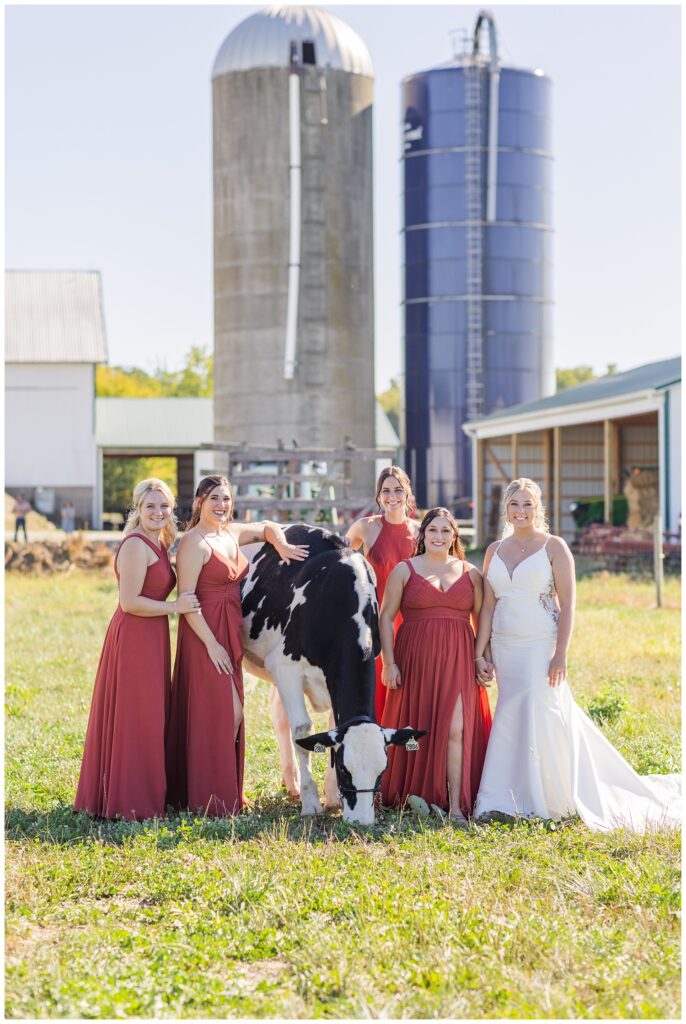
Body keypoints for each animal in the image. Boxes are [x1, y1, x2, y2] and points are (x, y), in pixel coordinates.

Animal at [240, 524, 423, 827]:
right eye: (346, 771)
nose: (362, 821)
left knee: (277, 714)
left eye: (382, 772)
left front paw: (332, 797)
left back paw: (291, 782)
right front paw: (311, 802)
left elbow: (331, 727)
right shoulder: (285, 667)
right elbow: (303, 731)